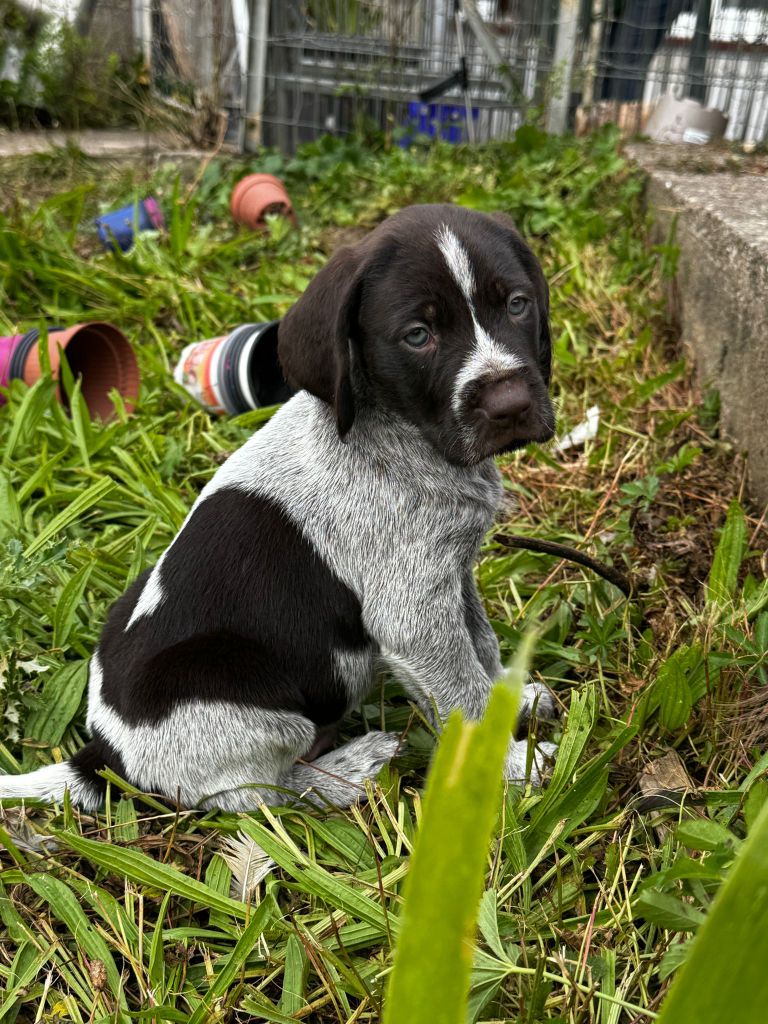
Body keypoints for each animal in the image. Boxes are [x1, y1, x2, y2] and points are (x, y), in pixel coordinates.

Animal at [3, 203, 561, 811]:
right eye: (418, 335)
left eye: (516, 304)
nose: (511, 404)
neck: (407, 439)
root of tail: (107, 757)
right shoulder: (413, 613)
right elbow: (463, 694)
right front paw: (508, 768)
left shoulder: (453, 574)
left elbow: (480, 647)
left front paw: (512, 699)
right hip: (235, 688)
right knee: (258, 794)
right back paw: (347, 770)